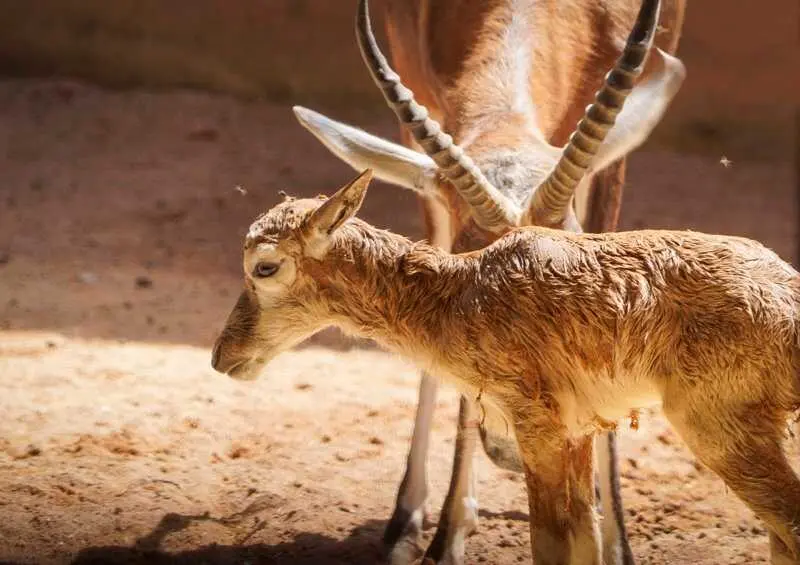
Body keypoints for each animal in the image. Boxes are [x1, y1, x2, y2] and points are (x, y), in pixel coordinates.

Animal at [212, 168, 800, 565]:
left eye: (265, 267)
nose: (222, 357)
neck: (460, 297)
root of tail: (789, 305)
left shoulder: (537, 428)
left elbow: (551, 546)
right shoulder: (578, 433)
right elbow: (584, 543)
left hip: (720, 431)